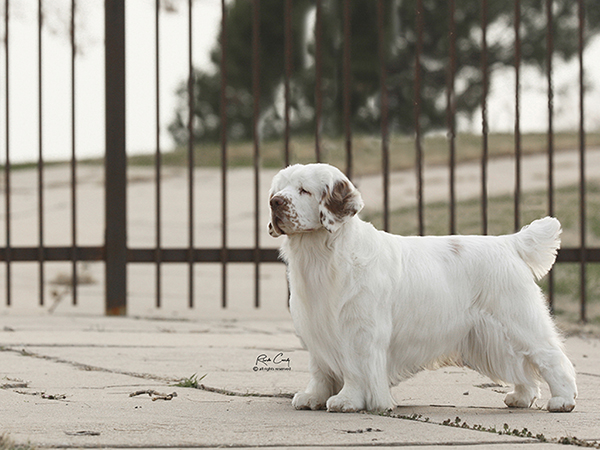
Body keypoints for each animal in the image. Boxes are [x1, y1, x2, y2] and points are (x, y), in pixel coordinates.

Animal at [268, 163, 576, 414]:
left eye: (304, 190)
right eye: (279, 189)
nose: (274, 202)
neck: (321, 255)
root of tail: (509, 243)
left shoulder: (358, 332)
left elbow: (355, 369)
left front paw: (347, 400)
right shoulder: (317, 328)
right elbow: (320, 369)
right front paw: (313, 397)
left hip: (518, 320)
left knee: (550, 356)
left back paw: (562, 400)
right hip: (498, 334)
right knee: (521, 364)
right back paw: (521, 397)